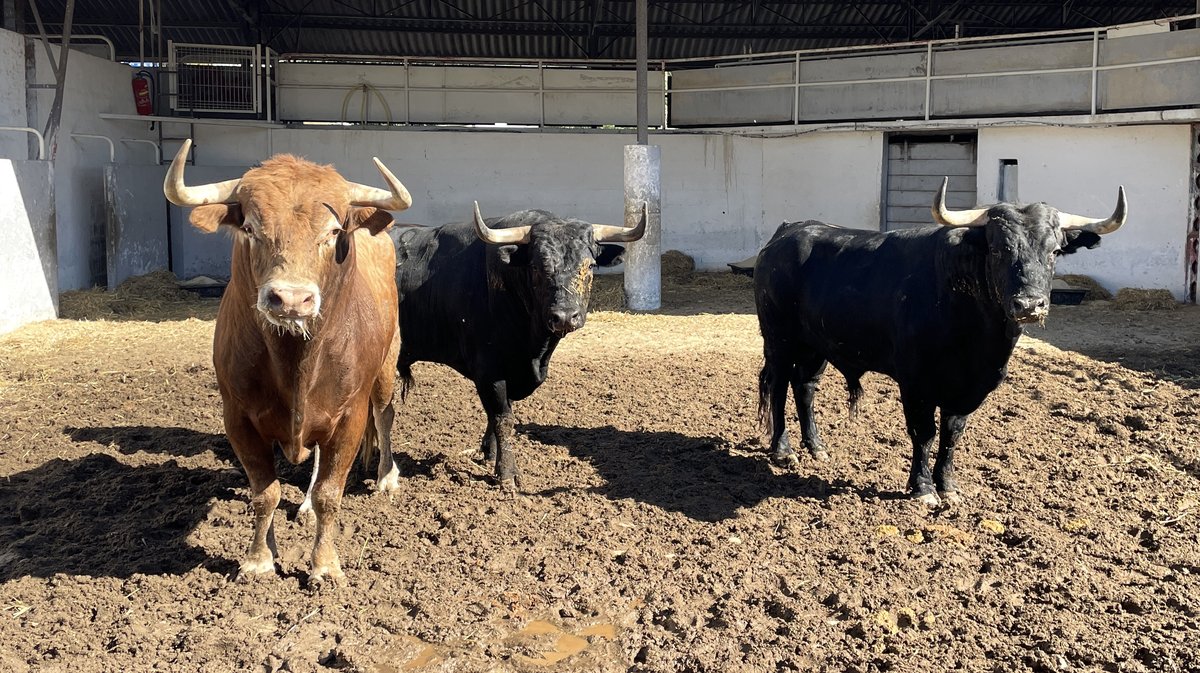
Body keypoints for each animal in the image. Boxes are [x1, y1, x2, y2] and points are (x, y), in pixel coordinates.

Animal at [164, 137, 410, 583]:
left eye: (333, 231)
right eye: (250, 228)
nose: (292, 299)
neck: (296, 362)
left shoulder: (349, 417)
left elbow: (332, 493)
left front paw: (325, 565)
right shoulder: (238, 417)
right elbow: (265, 493)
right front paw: (259, 558)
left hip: (385, 368)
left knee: (384, 417)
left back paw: (386, 478)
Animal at [393, 201, 643, 491]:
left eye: (589, 265)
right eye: (536, 267)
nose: (565, 316)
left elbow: (498, 415)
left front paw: (489, 454)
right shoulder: (489, 370)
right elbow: (502, 418)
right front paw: (506, 473)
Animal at [753, 178, 1128, 503]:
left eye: (1054, 251)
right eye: (997, 249)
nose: (1028, 305)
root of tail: (788, 231)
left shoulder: (969, 389)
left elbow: (952, 434)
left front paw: (947, 486)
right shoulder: (916, 382)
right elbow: (924, 432)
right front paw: (922, 489)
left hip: (815, 346)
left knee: (805, 388)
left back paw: (816, 447)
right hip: (779, 339)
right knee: (779, 384)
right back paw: (783, 449)